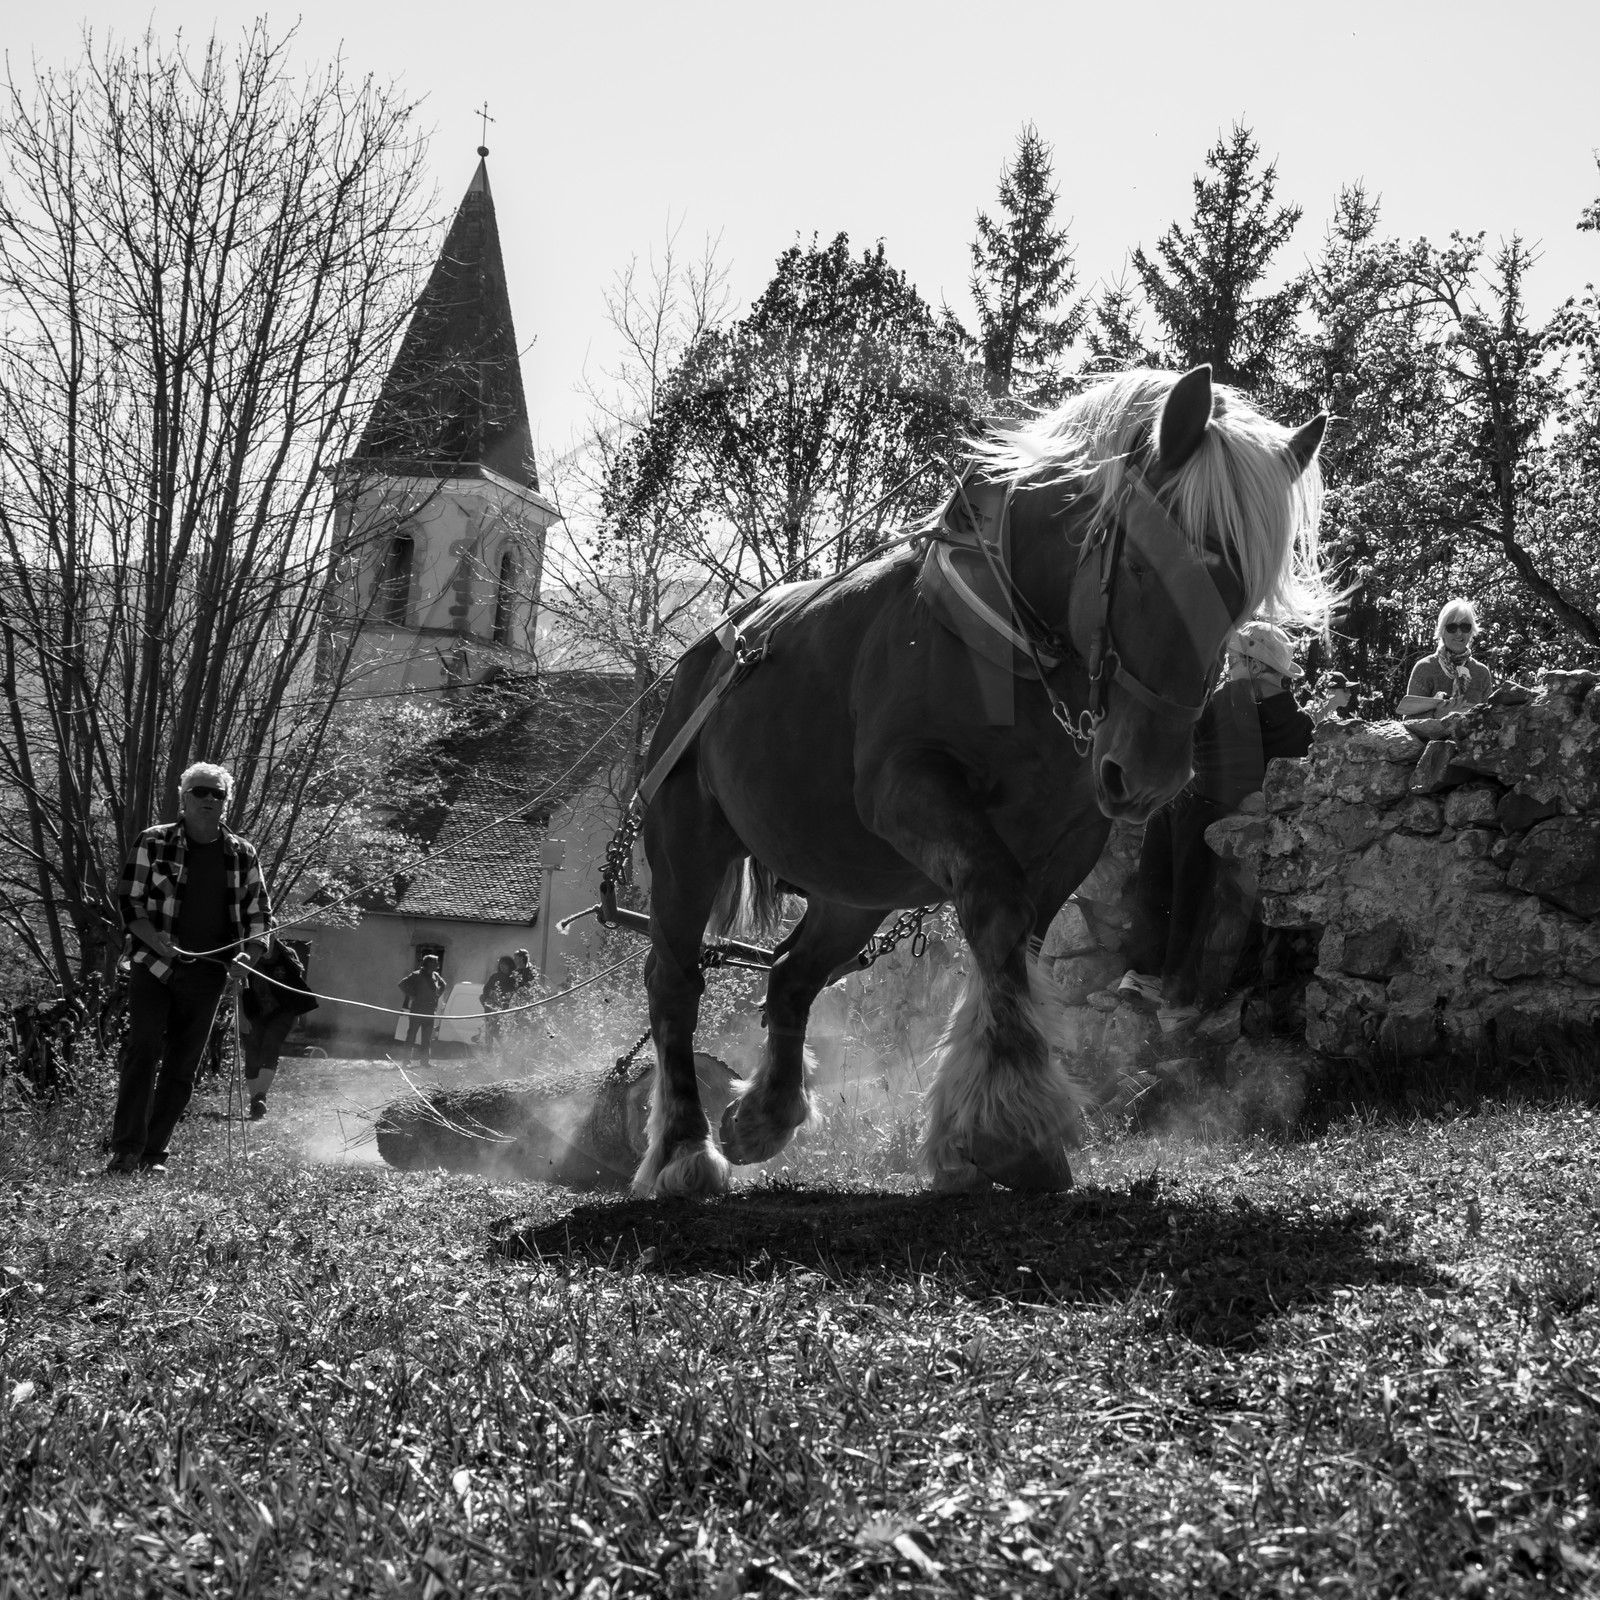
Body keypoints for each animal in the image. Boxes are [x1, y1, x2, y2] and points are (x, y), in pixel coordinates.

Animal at [632, 365, 1330, 1198]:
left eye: (1238, 597)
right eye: (1141, 567)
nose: (1152, 777)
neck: (1013, 643)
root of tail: (704, 651)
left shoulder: (1072, 834)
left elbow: (1016, 945)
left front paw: (980, 1127)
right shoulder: (909, 788)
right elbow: (996, 913)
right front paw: (1010, 1130)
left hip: (856, 887)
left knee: (793, 975)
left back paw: (765, 1114)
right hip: (686, 845)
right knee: (674, 982)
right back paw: (683, 1148)